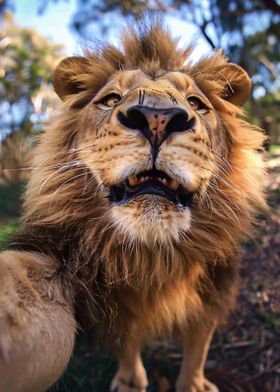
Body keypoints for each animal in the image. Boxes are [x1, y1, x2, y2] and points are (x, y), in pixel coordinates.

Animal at [0, 23, 264, 390]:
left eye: (196, 103)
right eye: (111, 99)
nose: (157, 118)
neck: (153, 260)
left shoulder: (213, 293)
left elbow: (198, 347)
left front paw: (195, 383)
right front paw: (129, 381)